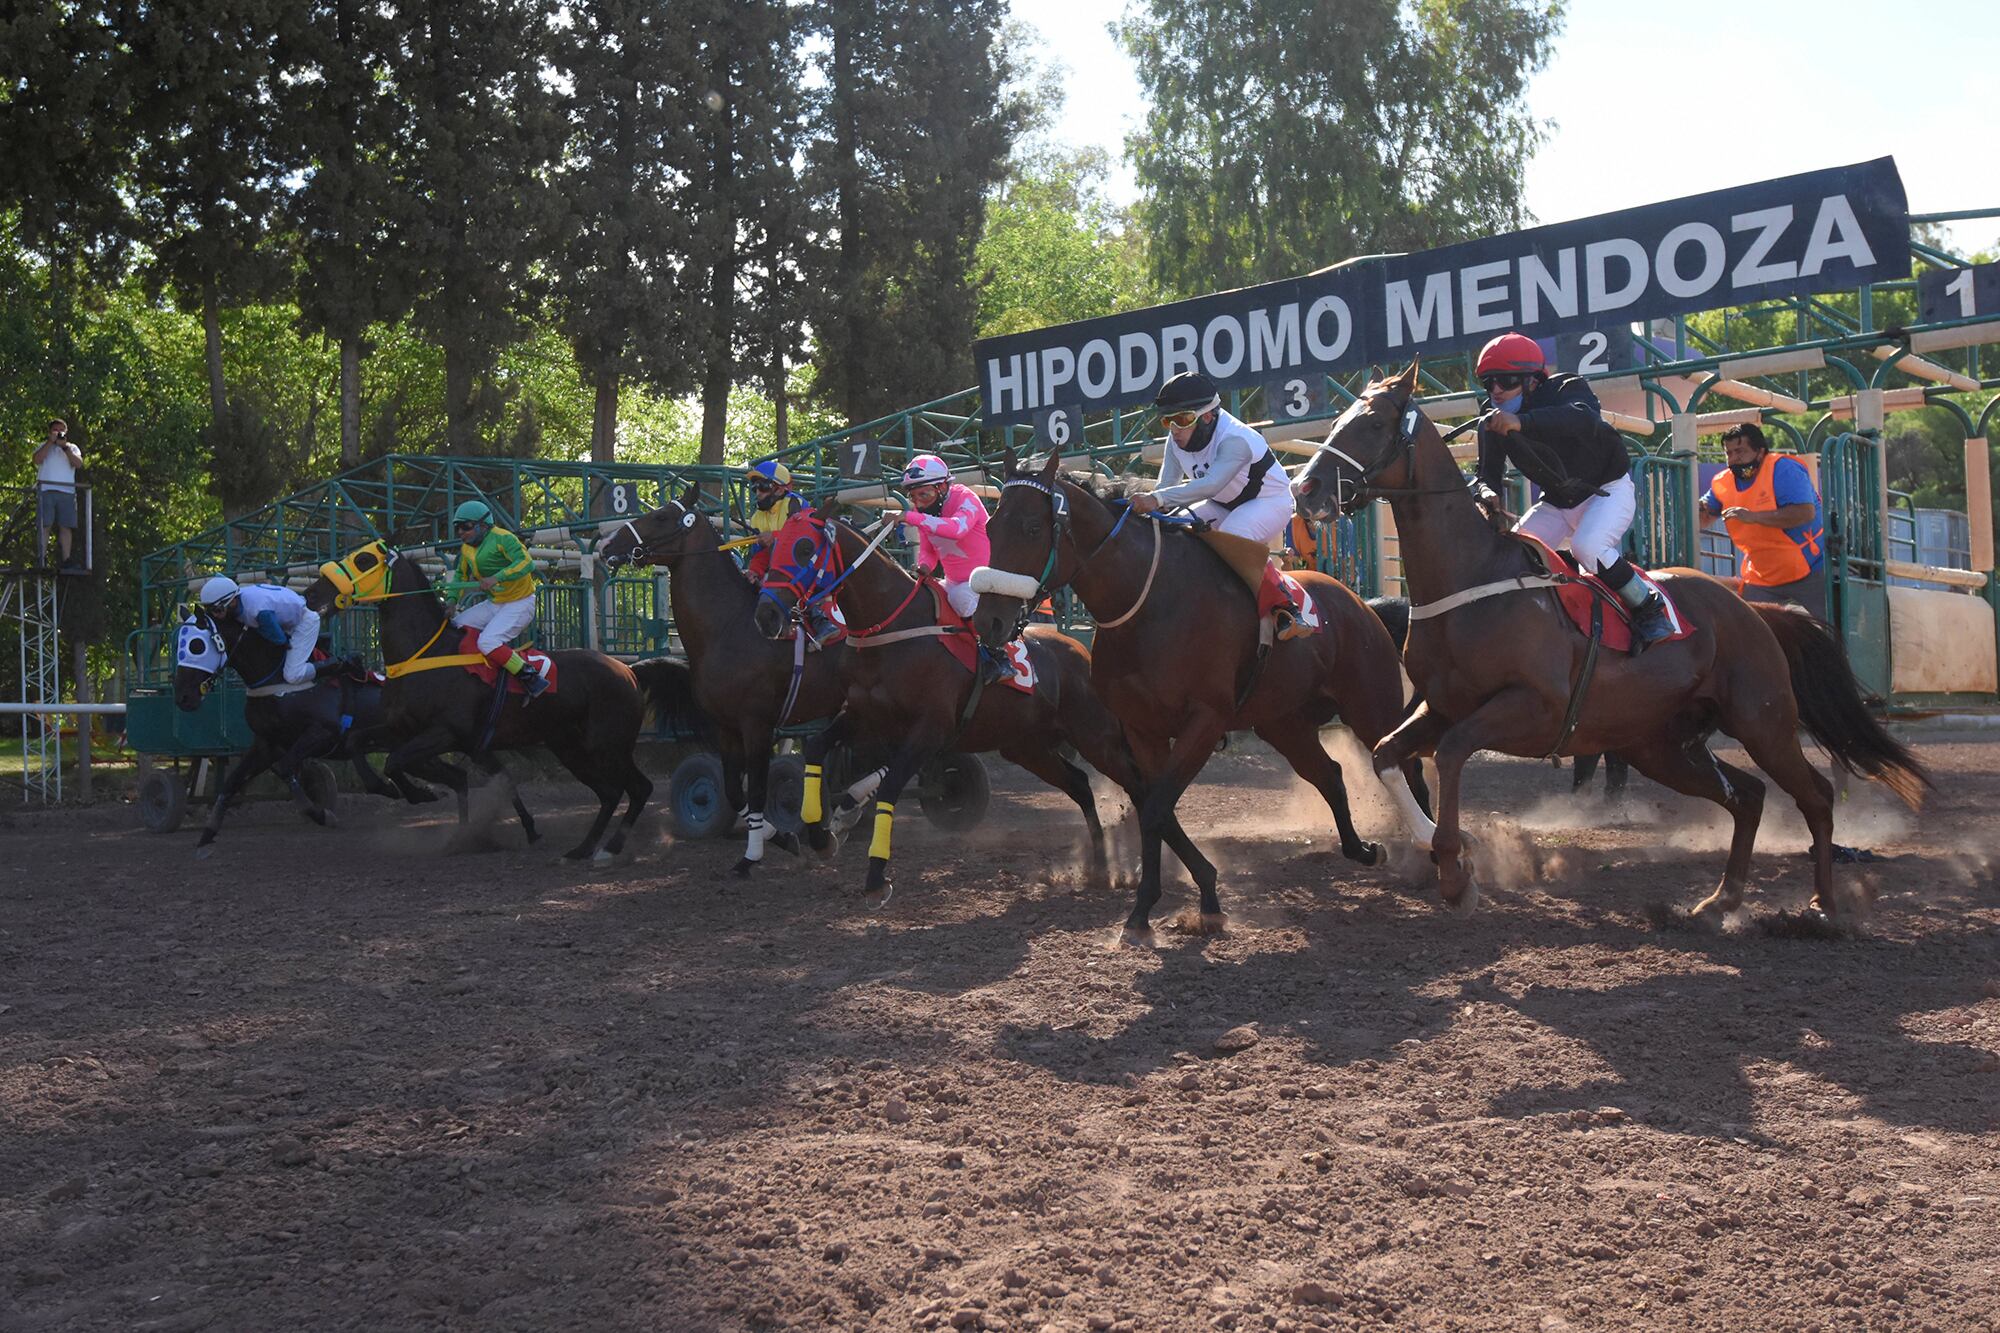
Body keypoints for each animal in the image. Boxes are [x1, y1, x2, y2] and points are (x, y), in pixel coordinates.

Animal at [300, 540, 656, 860]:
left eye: (363, 560)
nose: (310, 595)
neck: (424, 653)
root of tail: (628, 670)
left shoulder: (447, 732)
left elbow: (396, 761)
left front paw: (421, 793)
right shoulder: (402, 728)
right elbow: (359, 743)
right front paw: (390, 788)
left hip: (607, 745)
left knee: (635, 789)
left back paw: (607, 848)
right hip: (571, 748)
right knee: (611, 793)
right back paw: (585, 848)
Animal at [588, 486, 848, 872]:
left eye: (660, 516)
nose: (606, 544)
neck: (728, 627)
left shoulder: (757, 724)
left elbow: (758, 791)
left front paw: (752, 857)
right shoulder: (725, 726)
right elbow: (734, 791)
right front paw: (783, 838)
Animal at [752, 498, 1208, 904]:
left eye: (804, 548)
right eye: (772, 548)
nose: (766, 615)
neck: (891, 630)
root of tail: (1082, 651)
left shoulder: (930, 729)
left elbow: (891, 787)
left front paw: (876, 878)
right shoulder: (863, 716)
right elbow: (816, 748)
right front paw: (819, 835)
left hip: (1096, 738)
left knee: (1139, 789)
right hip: (1025, 746)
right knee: (1081, 785)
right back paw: (1099, 866)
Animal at [972, 452, 1432, 940]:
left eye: (1032, 528)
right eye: (990, 527)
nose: (989, 621)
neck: (1149, 603)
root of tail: (1363, 604)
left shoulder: (1205, 721)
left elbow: (1156, 807)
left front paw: (1195, 900)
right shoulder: (1143, 730)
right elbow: (1153, 807)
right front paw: (1153, 909)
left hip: (1368, 704)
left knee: (1406, 764)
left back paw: (1431, 854)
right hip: (1282, 723)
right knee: (1329, 773)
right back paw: (1363, 849)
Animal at [1288, 364, 1928, 924]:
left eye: (1372, 423)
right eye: (1340, 419)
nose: (1305, 487)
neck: (1469, 578)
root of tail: (1754, 610)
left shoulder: (1531, 707)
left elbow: (1449, 754)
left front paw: (1455, 871)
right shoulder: (1440, 705)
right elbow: (1386, 754)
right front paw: (1443, 851)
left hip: (1761, 720)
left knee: (1814, 796)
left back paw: (1822, 906)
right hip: (1660, 744)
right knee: (1746, 796)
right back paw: (1719, 901)